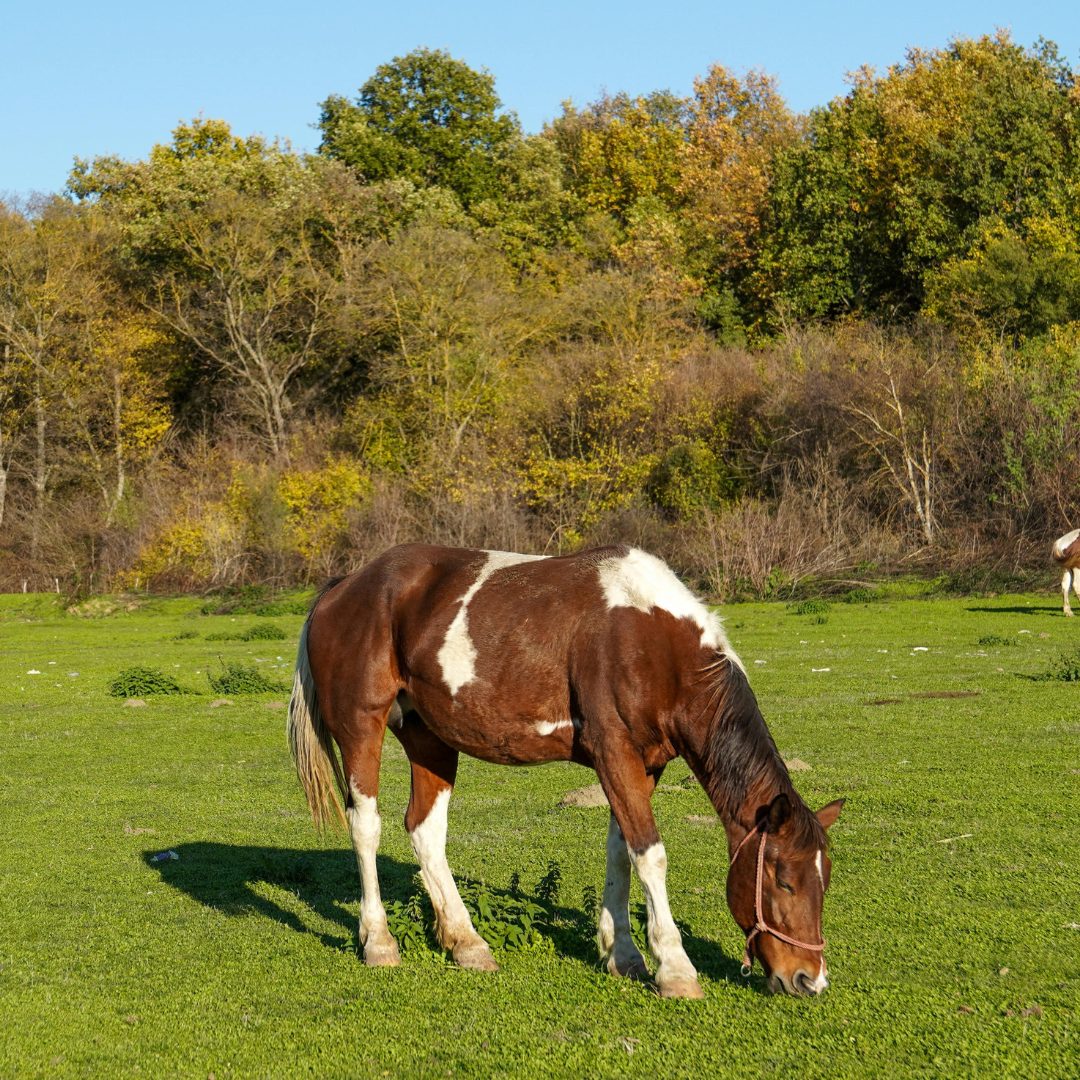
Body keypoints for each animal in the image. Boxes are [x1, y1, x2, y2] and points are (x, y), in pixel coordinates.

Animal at [287, 543, 845, 998]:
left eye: (823, 882)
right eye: (784, 882)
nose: (809, 980)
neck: (654, 641)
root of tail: (344, 586)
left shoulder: (645, 766)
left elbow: (622, 853)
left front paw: (623, 954)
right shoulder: (615, 753)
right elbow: (651, 856)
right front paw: (674, 968)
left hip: (430, 738)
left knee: (425, 831)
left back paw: (466, 942)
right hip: (362, 728)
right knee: (367, 828)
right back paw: (378, 940)